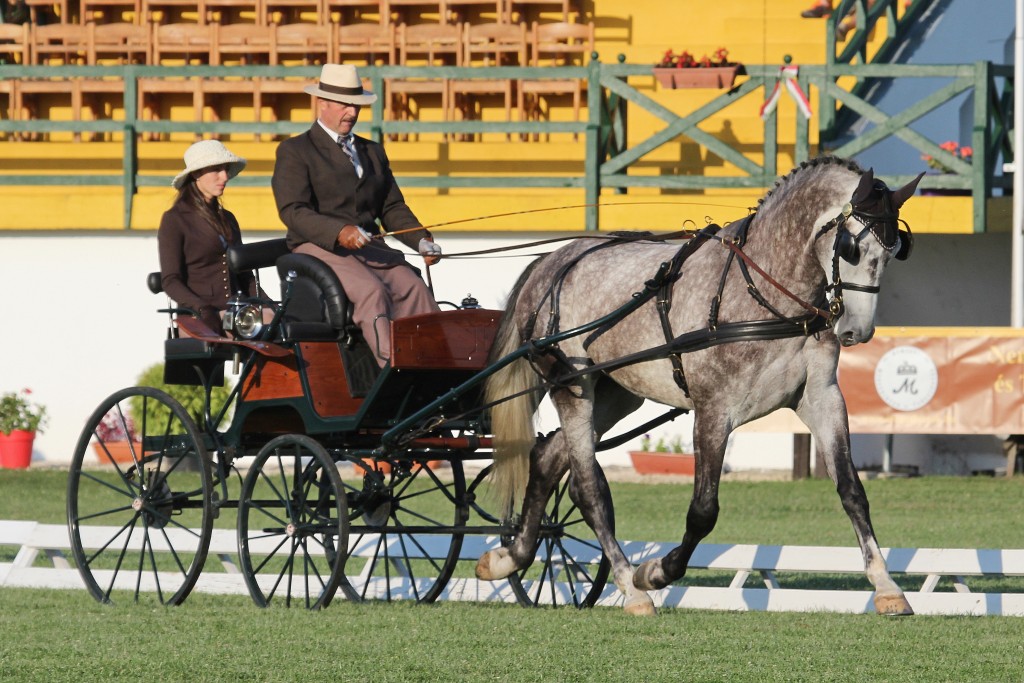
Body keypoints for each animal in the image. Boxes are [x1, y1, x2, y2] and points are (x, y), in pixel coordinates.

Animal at [475, 157, 925, 618]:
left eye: (894, 252)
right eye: (851, 248)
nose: (857, 331)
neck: (769, 296)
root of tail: (552, 260)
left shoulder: (822, 399)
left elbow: (852, 490)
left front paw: (886, 586)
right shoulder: (713, 410)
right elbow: (703, 510)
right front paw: (655, 572)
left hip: (615, 395)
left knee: (547, 457)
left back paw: (510, 557)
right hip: (572, 386)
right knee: (588, 489)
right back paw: (630, 587)